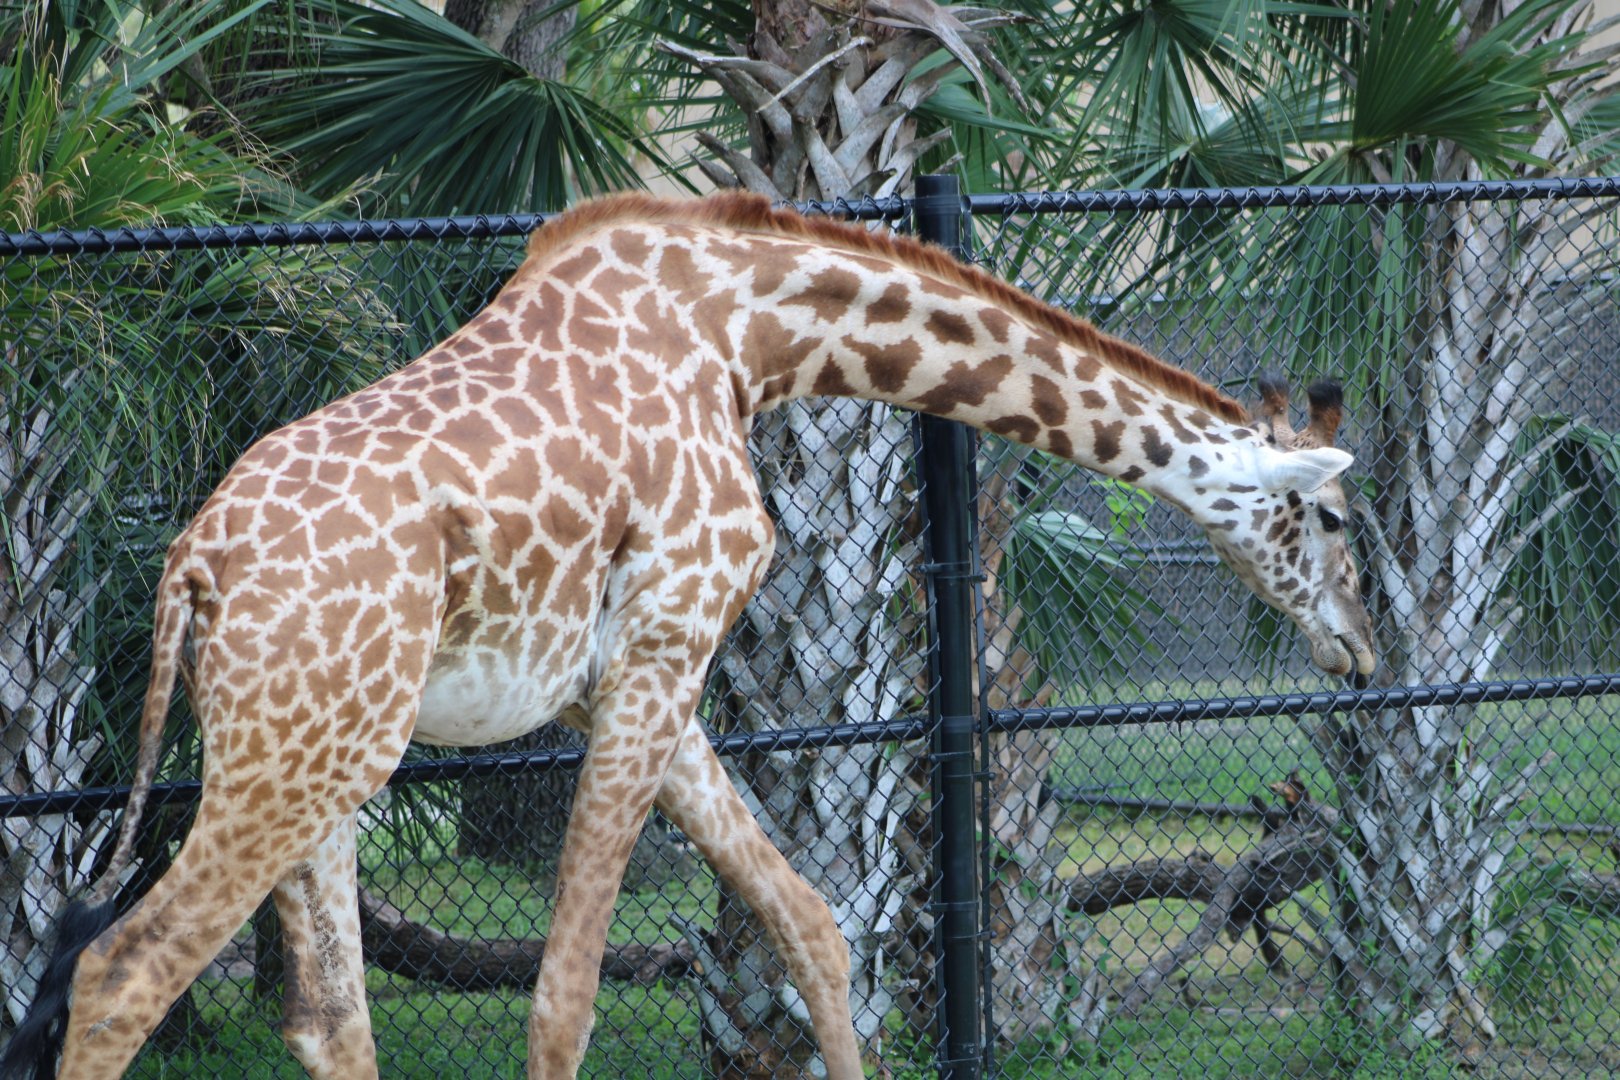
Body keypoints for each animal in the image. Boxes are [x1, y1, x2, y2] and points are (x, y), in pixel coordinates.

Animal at [1, 191, 1375, 1080]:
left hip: (324, 745)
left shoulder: (626, 675)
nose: (1362, 647)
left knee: (328, 1017)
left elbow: (814, 926)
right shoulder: (666, 646)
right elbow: (564, 1000)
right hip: (292, 756)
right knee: (118, 979)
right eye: (1331, 513)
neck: (751, 332)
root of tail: (193, 567)